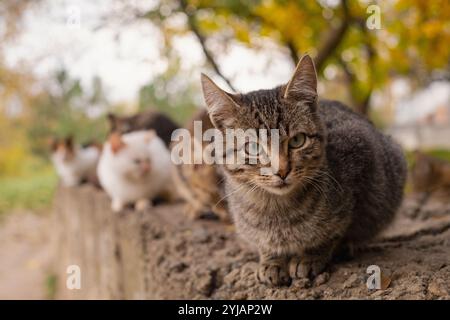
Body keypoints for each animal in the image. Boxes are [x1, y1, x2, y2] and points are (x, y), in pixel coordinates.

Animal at [200, 55, 408, 288]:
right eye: (252, 147)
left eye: (297, 140)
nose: (282, 170)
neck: (277, 210)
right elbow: (265, 244)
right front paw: (271, 260)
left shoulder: (362, 163)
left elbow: (334, 231)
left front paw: (310, 256)